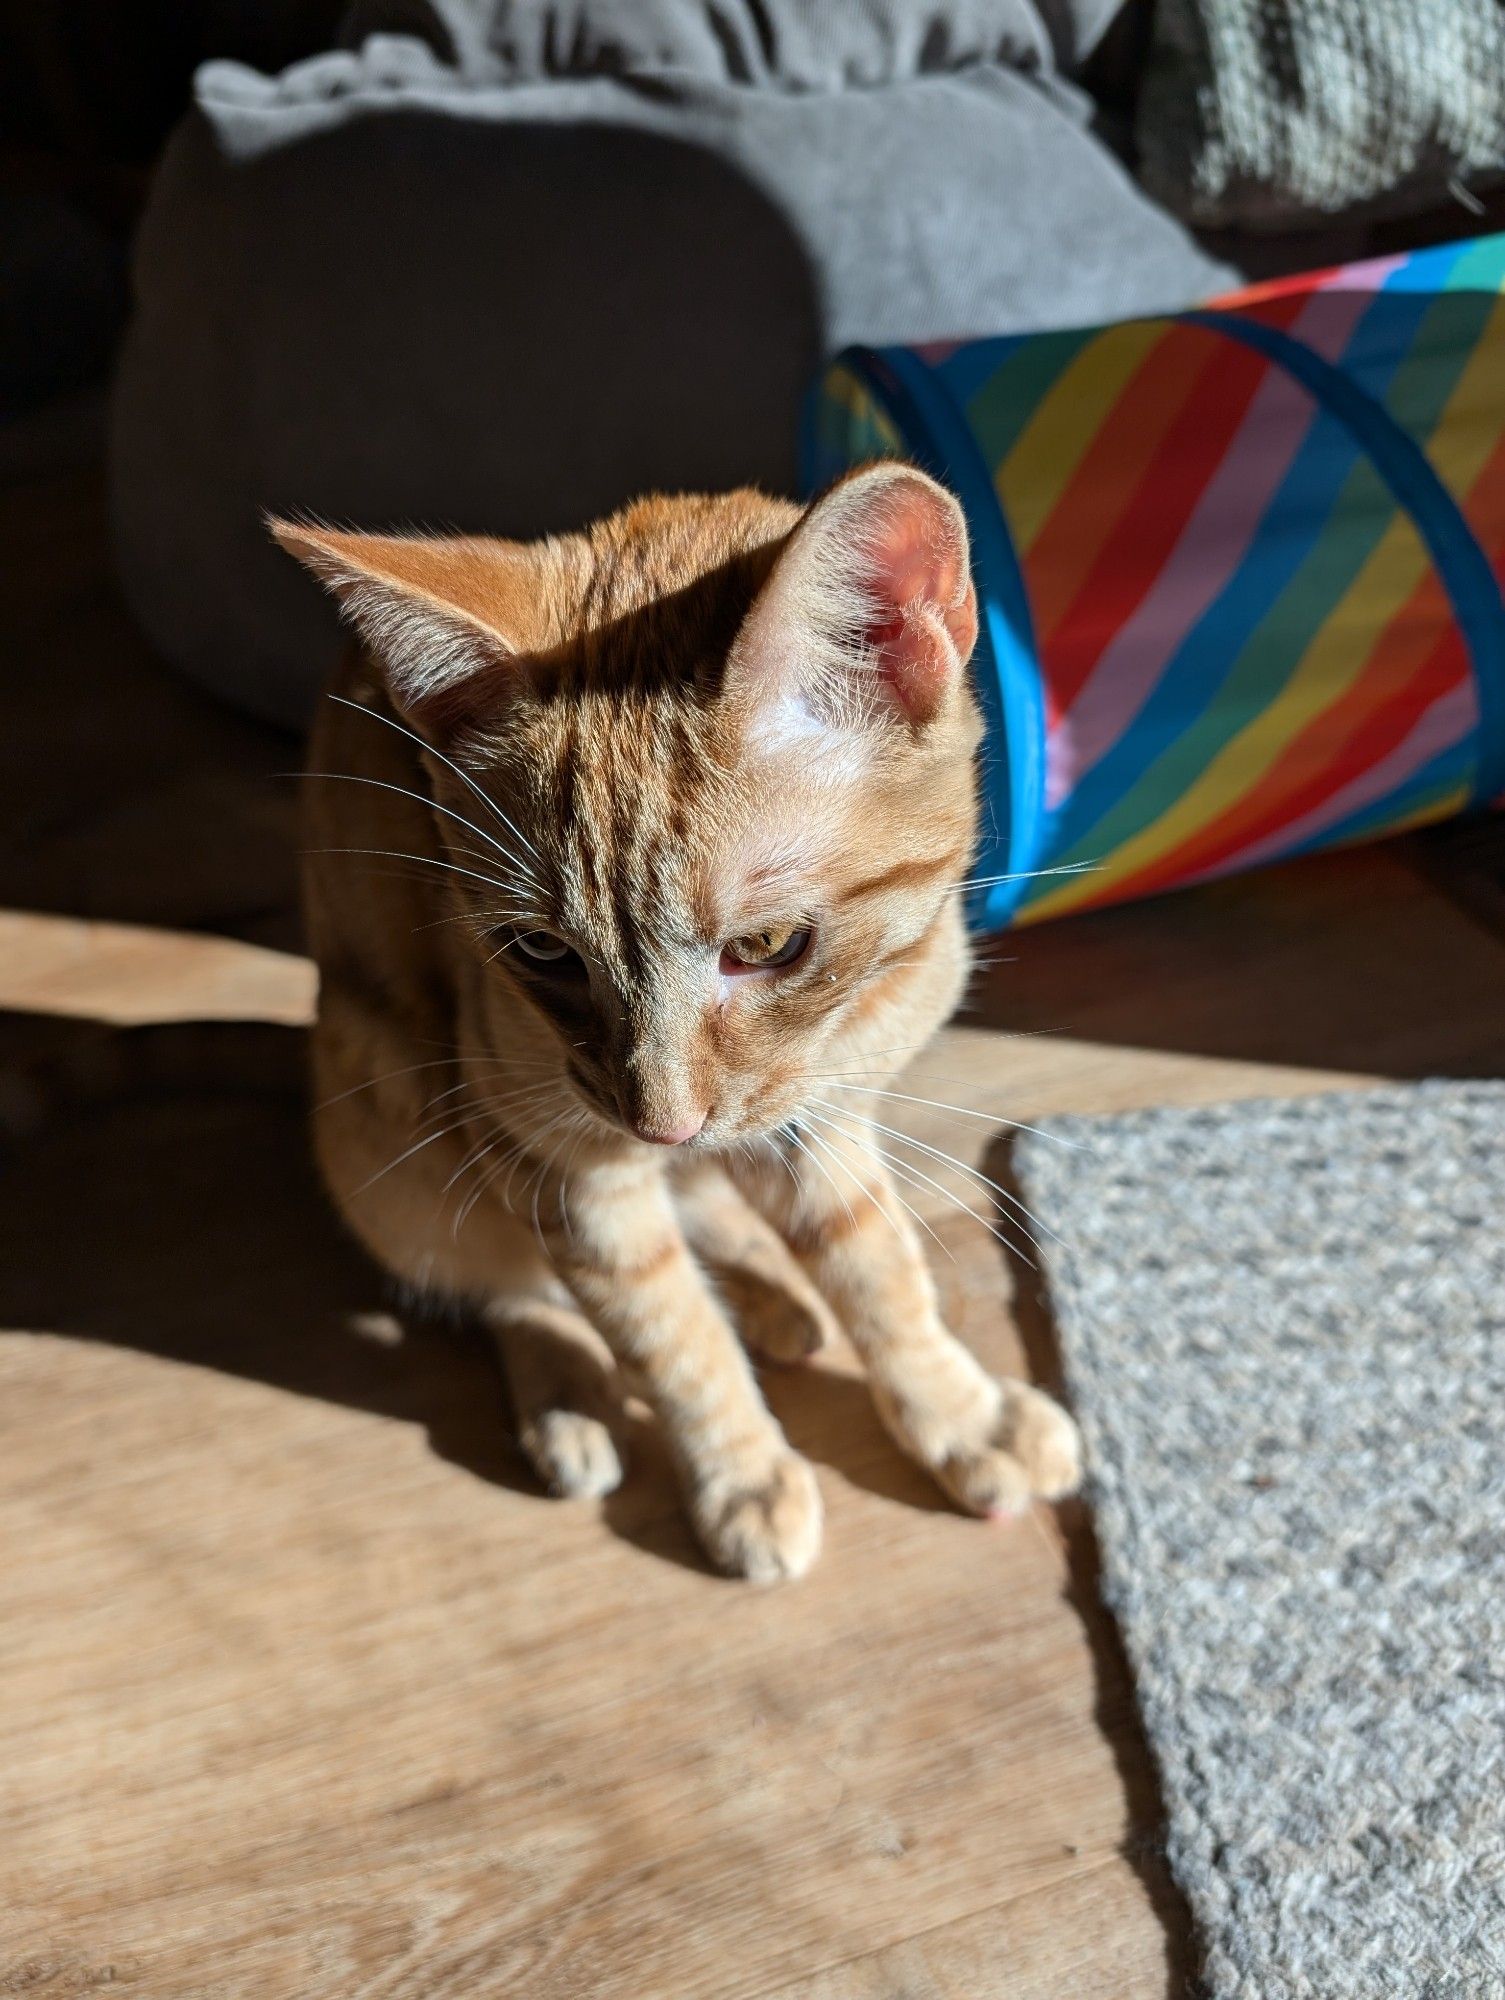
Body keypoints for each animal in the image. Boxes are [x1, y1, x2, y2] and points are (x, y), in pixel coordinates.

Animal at [276, 468, 1080, 1576]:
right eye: (540, 952)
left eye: (768, 944)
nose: (660, 1121)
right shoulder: (555, 1158)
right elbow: (665, 1328)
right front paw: (739, 1472)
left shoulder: (814, 1119)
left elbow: (877, 1266)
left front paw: (956, 1413)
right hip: (387, 1124)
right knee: (504, 1282)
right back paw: (570, 1392)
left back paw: (770, 1292)